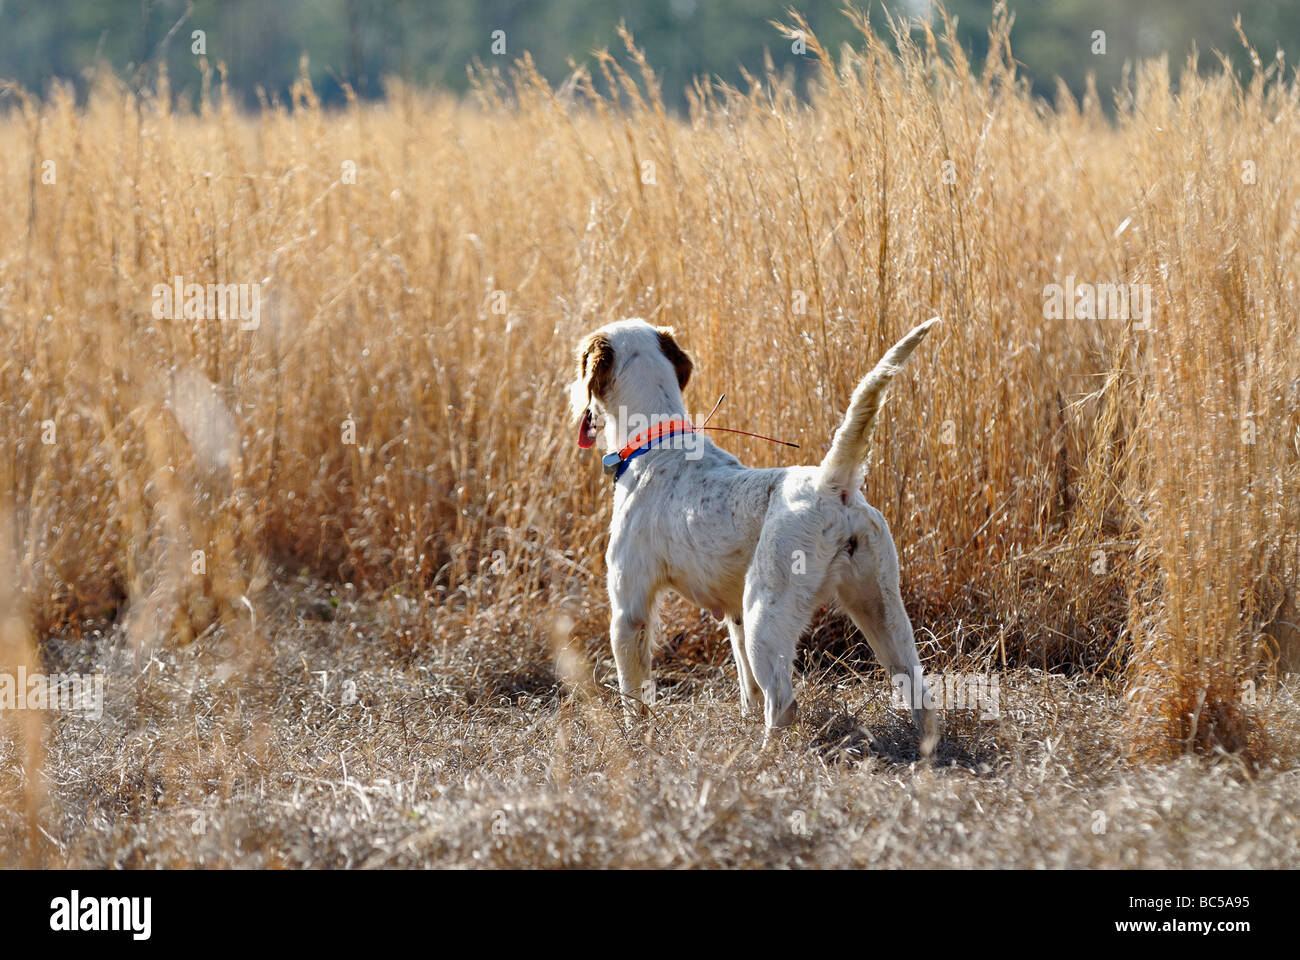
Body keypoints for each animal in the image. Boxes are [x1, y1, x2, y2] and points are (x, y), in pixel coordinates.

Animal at [566, 317, 935, 744]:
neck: (656, 444)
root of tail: (831, 484)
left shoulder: (629, 612)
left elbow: (633, 696)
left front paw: (634, 739)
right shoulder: (734, 616)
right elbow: (748, 690)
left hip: (767, 614)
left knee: (783, 701)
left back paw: (765, 755)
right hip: (880, 608)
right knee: (919, 692)